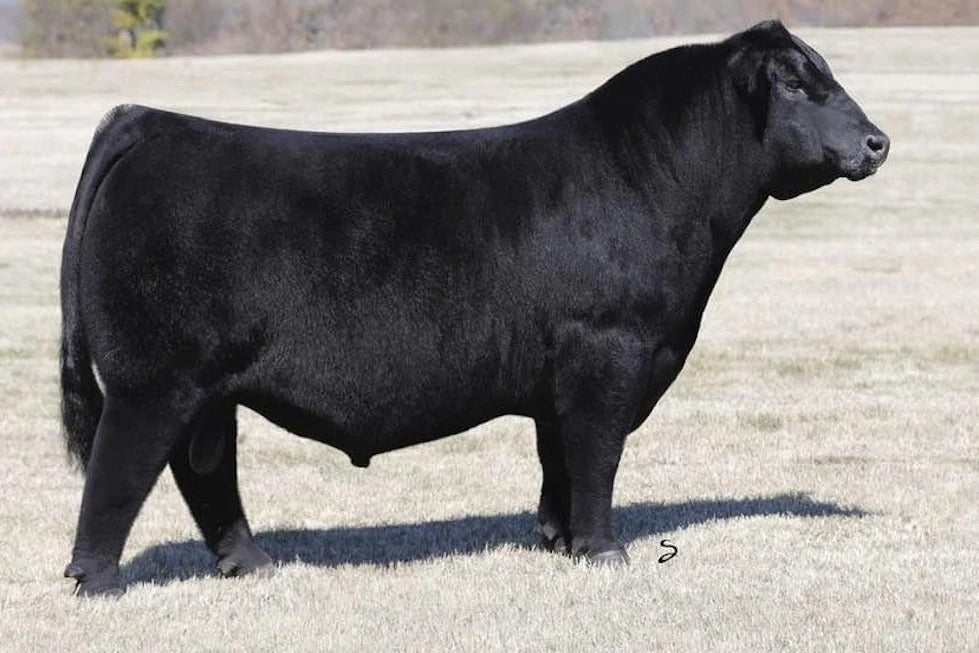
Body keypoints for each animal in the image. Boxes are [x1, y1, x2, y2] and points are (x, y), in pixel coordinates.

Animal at [59, 20, 888, 596]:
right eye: (796, 83)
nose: (877, 142)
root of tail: (154, 120)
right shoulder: (609, 352)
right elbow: (596, 455)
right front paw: (604, 550)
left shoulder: (564, 376)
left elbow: (558, 459)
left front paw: (556, 540)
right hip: (154, 379)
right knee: (120, 465)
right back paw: (100, 581)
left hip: (208, 390)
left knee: (205, 471)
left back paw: (252, 563)